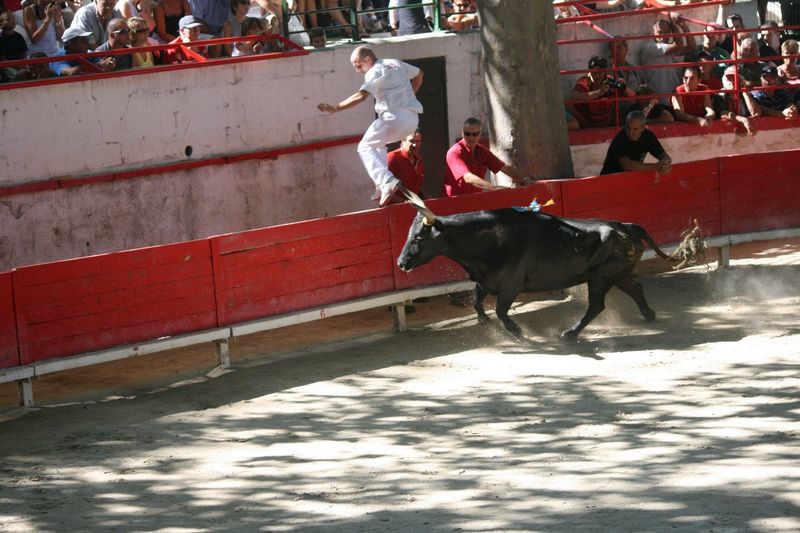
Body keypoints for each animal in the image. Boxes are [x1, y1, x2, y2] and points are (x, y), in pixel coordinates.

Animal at [396, 206, 672, 338]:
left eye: (419, 237)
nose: (400, 262)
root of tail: (627, 227)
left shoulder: (510, 286)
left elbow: (501, 310)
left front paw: (517, 332)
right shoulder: (487, 281)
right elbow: (477, 302)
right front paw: (484, 322)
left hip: (601, 278)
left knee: (596, 306)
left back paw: (569, 334)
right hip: (617, 274)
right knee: (635, 288)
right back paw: (649, 315)